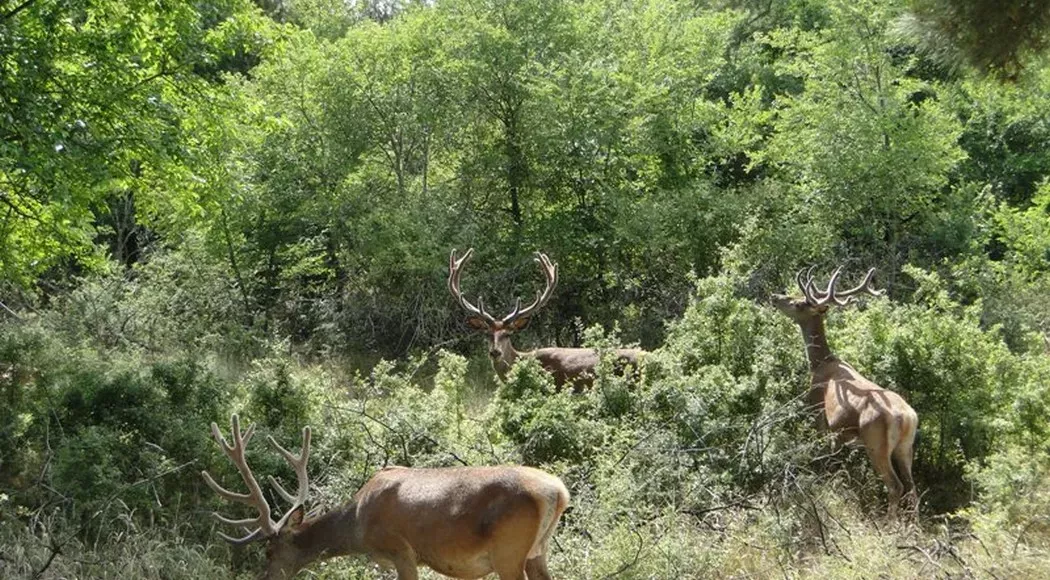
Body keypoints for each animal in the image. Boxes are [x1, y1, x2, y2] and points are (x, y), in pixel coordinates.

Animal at [200, 413, 571, 575]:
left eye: (269, 552)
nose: (263, 577)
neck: (358, 526)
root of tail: (557, 492)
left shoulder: (400, 550)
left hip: (508, 550)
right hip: (538, 552)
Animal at [772, 264, 919, 519]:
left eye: (799, 303)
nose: (775, 297)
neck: (819, 363)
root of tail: (906, 418)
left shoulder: (818, 415)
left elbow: (827, 461)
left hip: (875, 442)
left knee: (896, 486)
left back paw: (889, 524)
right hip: (905, 447)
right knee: (912, 488)